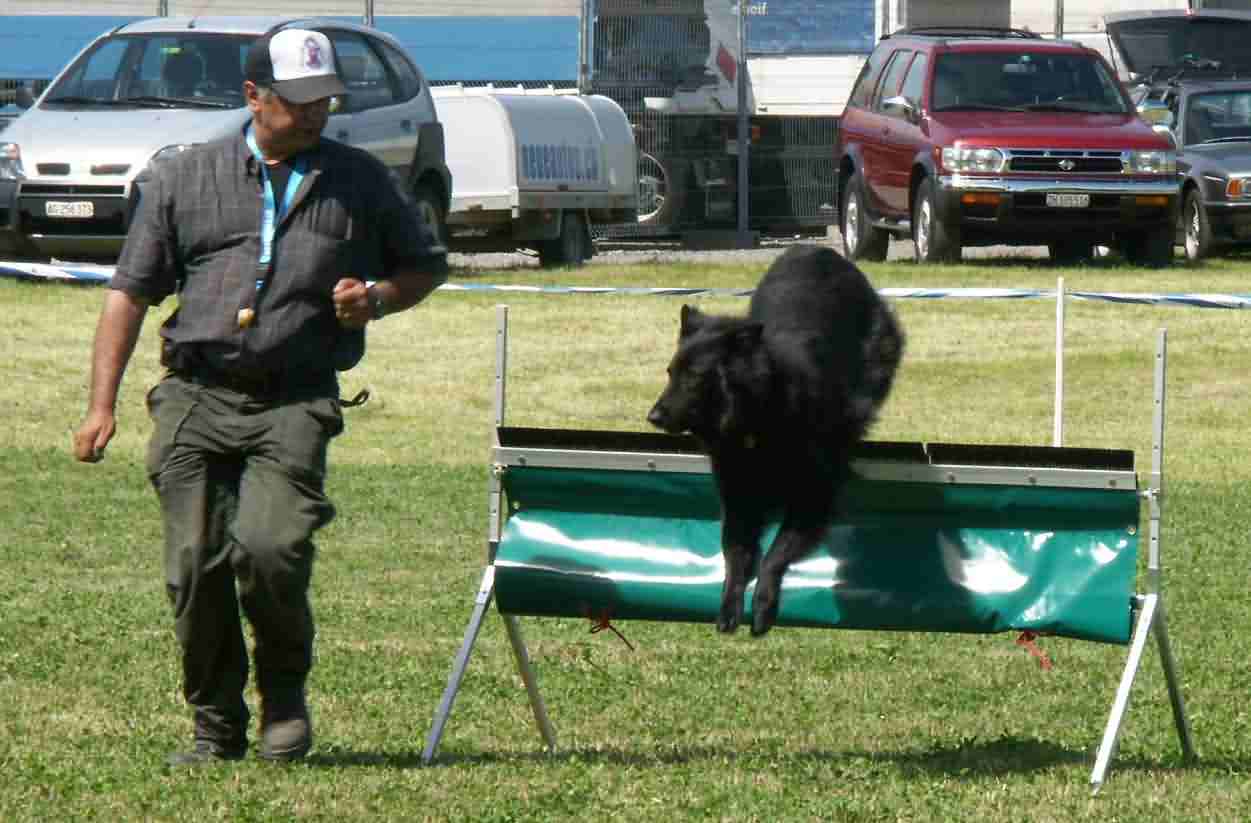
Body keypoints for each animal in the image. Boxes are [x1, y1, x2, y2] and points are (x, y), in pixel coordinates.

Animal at [650, 243, 905, 635]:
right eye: (670, 373)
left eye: (693, 377)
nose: (653, 417)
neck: (759, 417)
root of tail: (816, 248)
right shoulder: (738, 499)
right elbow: (734, 555)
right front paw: (729, 606)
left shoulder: (812, 497)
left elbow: (773, 555)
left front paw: (762, 605)